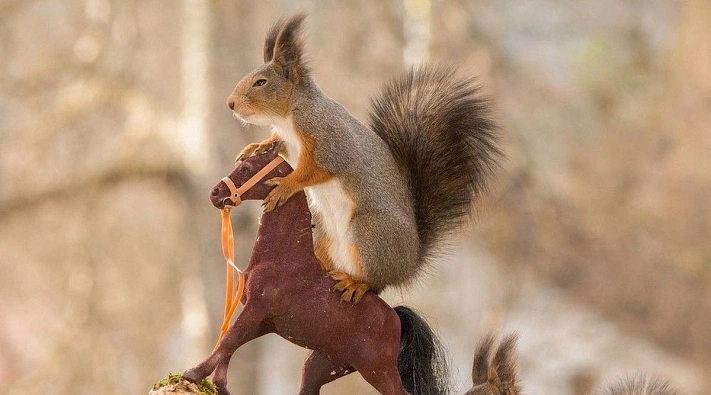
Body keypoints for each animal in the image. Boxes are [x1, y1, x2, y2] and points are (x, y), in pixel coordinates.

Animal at [186, 147, 448, 395]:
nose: (215, 194)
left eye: (247, 168)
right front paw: (219, 384)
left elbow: (229, 339)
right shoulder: (263, 321)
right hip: (323, 364)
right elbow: (231, 342)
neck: (282, 260)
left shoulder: (256, 310)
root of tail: (395, 317)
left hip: (377, 371)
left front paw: (194, 374)